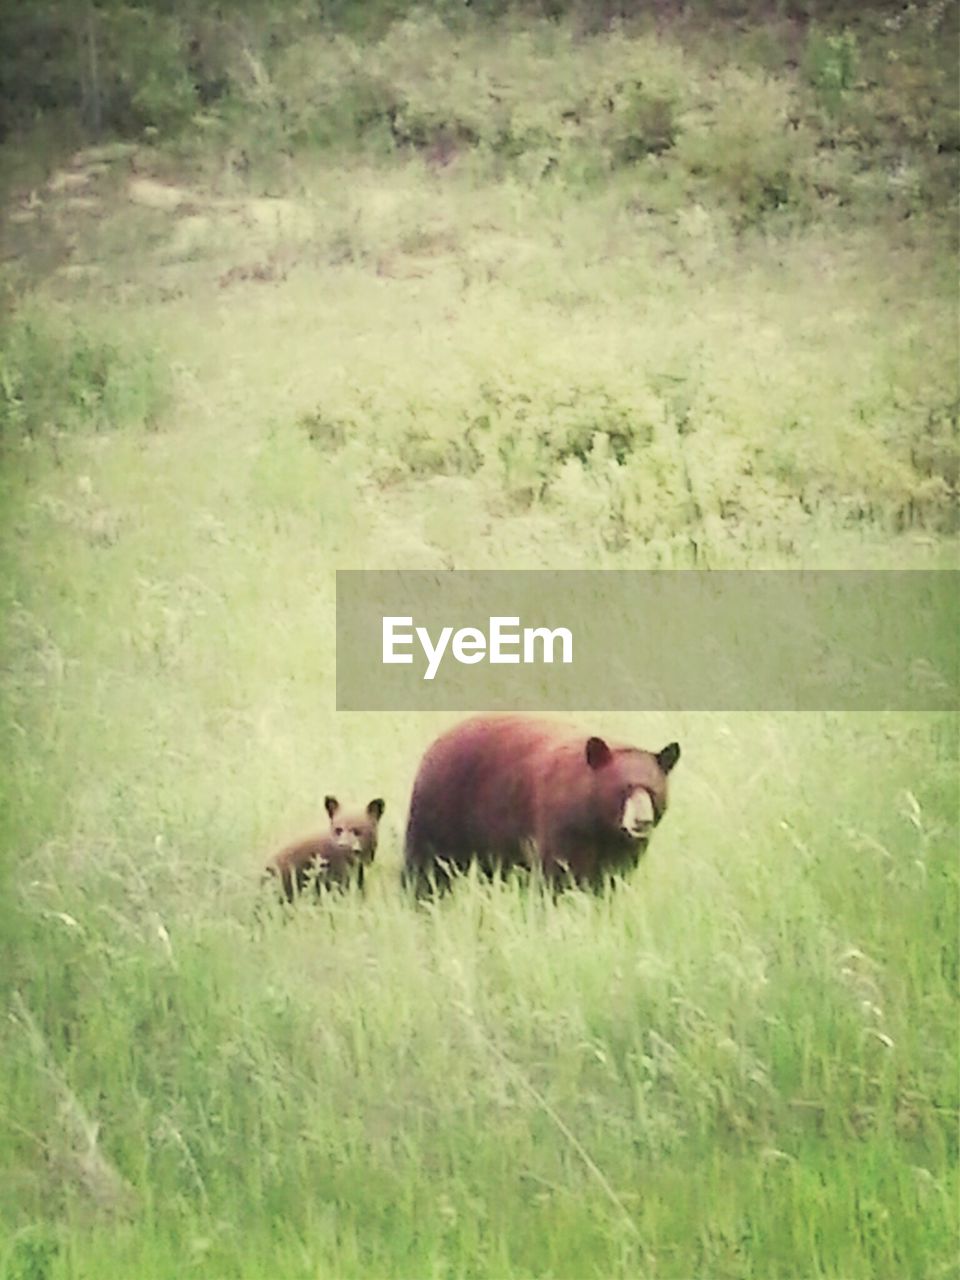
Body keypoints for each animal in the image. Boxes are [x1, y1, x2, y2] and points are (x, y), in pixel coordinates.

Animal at [401, 716, 680, 896]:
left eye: (652, 791)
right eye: (624, 788)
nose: (642, 821)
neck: (598, 823)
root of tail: (435, 744)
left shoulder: (622, 846)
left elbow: (613, 877)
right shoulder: (562, 825)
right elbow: (558, 873)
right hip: (442, 806)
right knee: (427, 864)